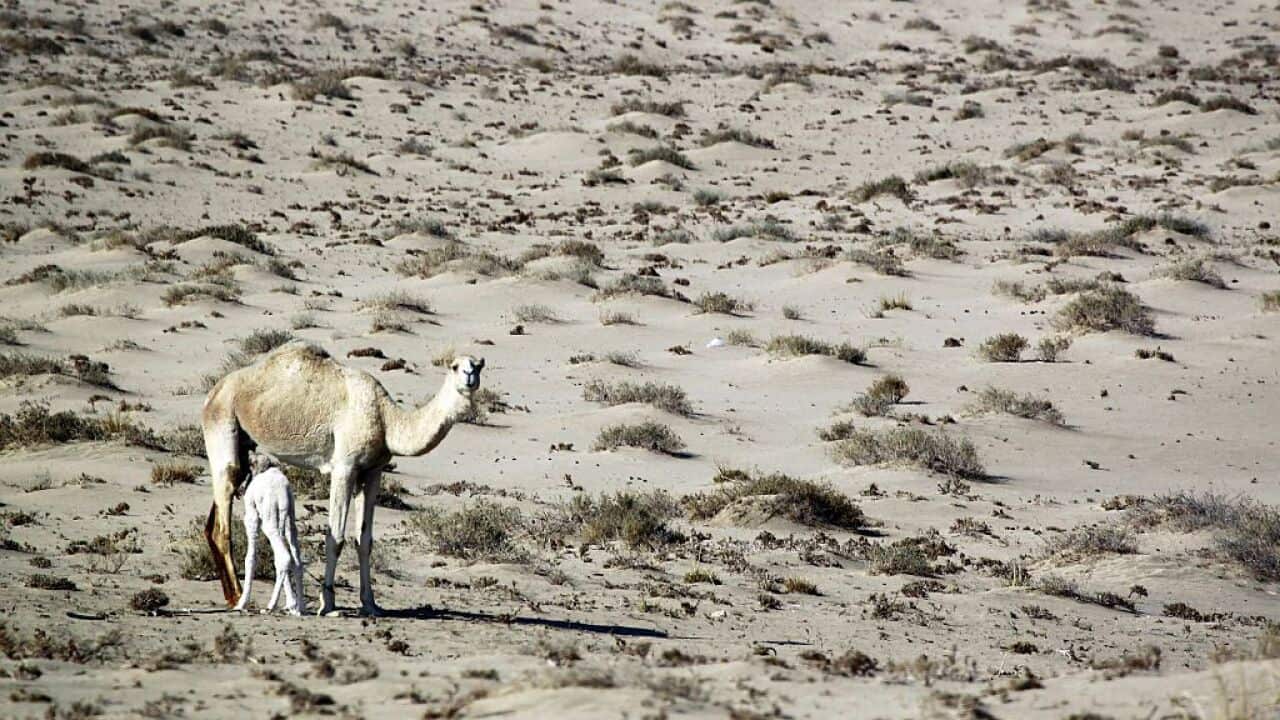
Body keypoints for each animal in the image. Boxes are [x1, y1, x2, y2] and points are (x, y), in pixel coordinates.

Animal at [234, 464, 305, 616]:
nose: (238, 491)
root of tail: (283, 496)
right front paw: (291, 604)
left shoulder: (252, 516)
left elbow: (250, 559)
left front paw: (241, 604)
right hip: (289, 521)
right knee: (296, 561)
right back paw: (300, 608)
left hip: (269, 520)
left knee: (284, 557)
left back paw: (270, 606)